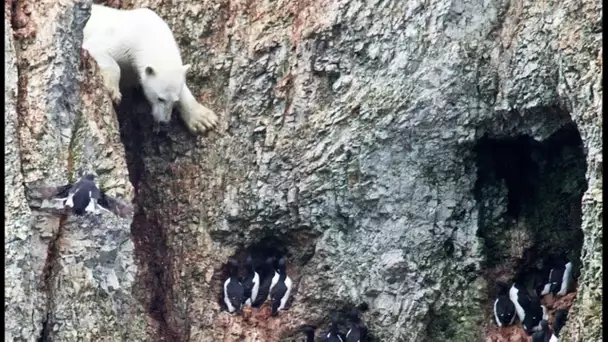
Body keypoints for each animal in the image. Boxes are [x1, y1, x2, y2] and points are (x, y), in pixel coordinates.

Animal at [83, 5, 218, 134]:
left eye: (175, 101)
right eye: (160, 98)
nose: (164, 122)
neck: (149, 35)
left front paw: (204, 120)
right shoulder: (121, 41)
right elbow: (96, 49)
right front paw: (114, 92)